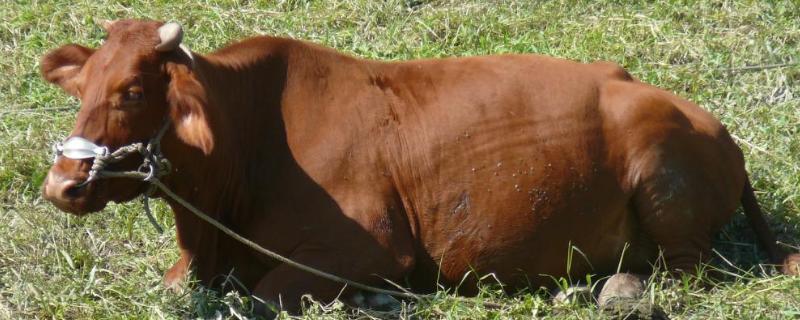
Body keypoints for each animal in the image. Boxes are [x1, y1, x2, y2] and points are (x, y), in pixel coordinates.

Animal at [42, 20, 792, 316]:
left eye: (132, 91)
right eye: (83, 88)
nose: (62, 184)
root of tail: (713, 124)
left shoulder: (372, 246)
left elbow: (263, 298)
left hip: (663, 177)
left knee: (687, 269)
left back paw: (612, 289)